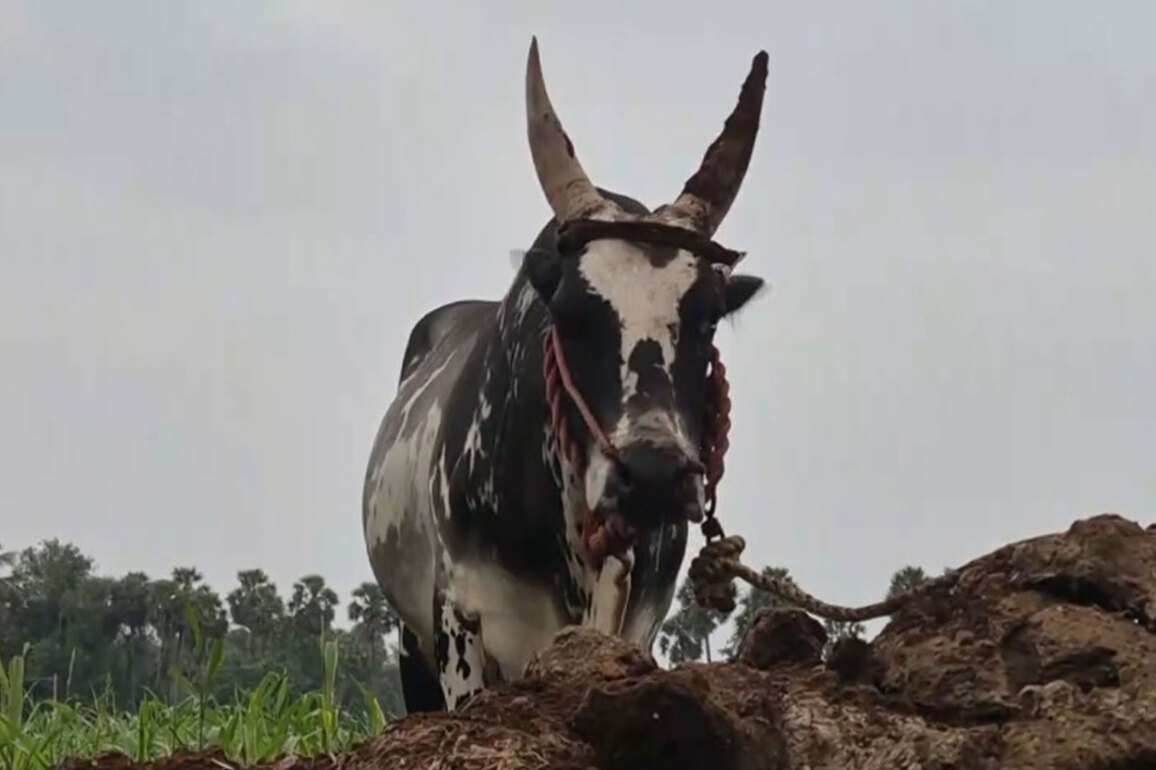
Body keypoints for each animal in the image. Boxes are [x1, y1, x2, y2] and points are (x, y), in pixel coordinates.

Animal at [361, 37, 769, 713]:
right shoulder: (457, 618)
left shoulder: (639, 621)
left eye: (708, 316)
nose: (653, 475)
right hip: (411, 639)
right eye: (572, 313)